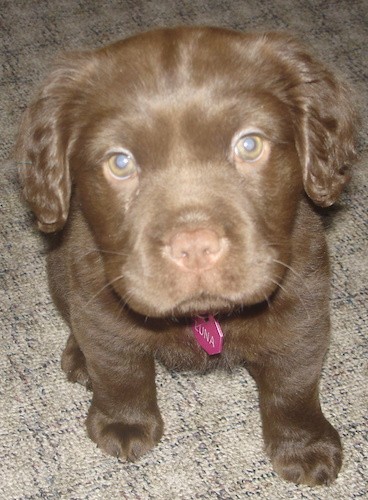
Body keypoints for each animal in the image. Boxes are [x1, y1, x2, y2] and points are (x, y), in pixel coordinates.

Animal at [16, 26, 356, 484]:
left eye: (250, 145)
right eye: (120, 163)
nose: (195, 248)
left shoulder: (303, 312)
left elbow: (294, 385)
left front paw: (304, 447)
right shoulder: (102, 306)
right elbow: (119, 370)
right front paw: (124, 423)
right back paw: (79, 358)